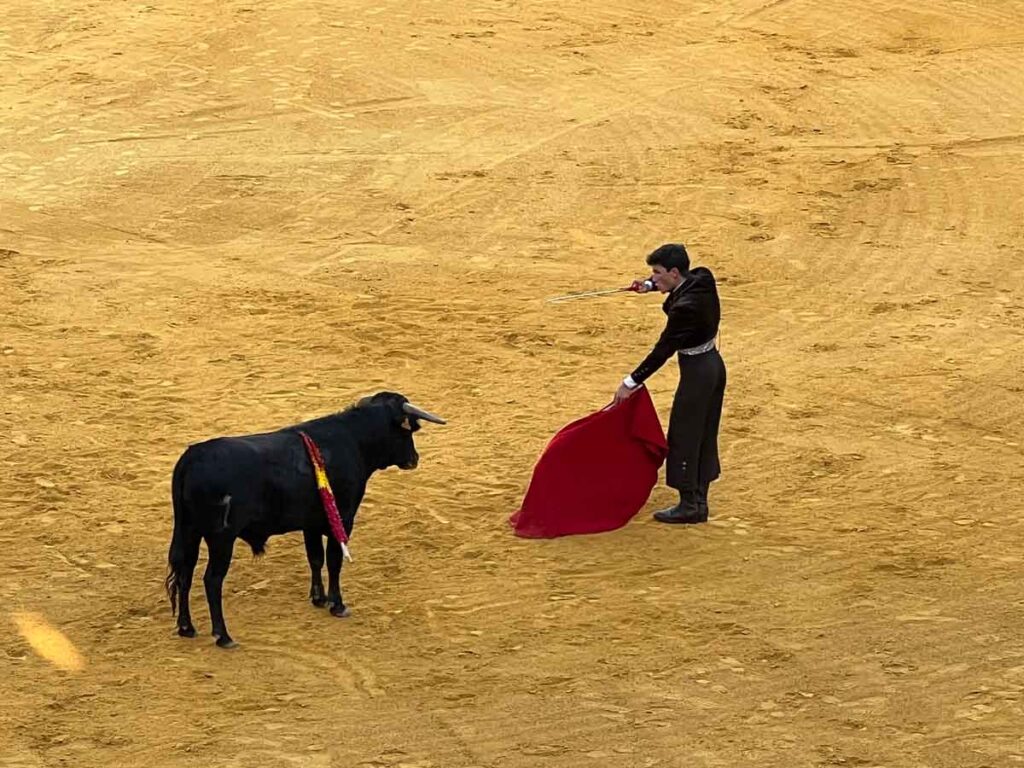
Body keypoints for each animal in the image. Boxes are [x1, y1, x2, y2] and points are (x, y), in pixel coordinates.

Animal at [163, 391, 444, 651]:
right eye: (409, 430)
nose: (414, 459)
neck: (354, 440)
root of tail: (192, 458)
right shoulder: (343, 519)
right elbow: (334, 561)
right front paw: (338, 604)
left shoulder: (311, 524)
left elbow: (315, 558)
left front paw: (318, 598)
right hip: (221, 538)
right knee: (211, 580)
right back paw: (223, 636)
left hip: (189, 531)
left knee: (185, 572)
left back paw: (186, 628)